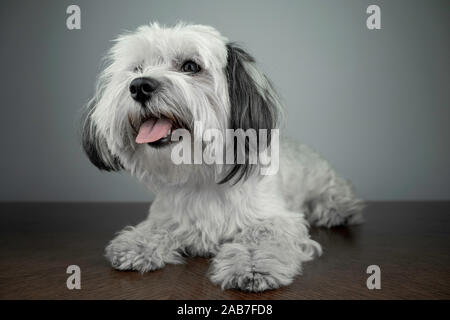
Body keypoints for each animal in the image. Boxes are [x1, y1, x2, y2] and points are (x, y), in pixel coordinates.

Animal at [82, 22, 364, 292]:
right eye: (137, 68)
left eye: (190, 66)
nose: (139, 86)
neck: (201, 175)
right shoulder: (167, 216)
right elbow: (158, 226)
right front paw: (138, 242)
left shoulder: (277, 219)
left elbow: (261, 236)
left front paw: (252, 265)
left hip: (323, 182)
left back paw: (338, 210)